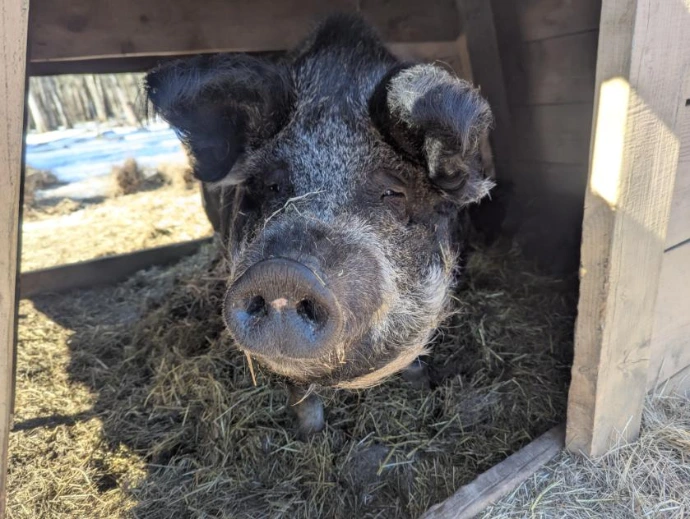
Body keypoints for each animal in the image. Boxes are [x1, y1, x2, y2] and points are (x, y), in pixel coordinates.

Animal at [146, 14, 493, 436]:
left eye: (392, 192)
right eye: (271, 185)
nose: (281, 274)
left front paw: (420, 383)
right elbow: (297, 387)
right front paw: (311, 434)